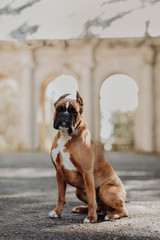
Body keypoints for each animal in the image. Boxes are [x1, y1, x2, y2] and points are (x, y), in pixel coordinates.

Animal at [48, 91, 129, 223]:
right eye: (59, 109)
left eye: (74, 112)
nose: (65, 115)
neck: (66, 136)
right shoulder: (59, 172)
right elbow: (61, 196)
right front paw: (57, 212)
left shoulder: (87, 172)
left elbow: (92, 197)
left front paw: (91, 218)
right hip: (78, 191)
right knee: (99, 207)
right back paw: (81, 208)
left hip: (105, 191)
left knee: (122, 210)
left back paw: (111, 215)